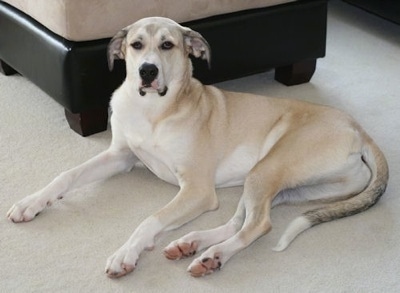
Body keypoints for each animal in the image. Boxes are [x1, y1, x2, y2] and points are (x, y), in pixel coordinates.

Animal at [6, 17, 390, 278]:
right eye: (136, 45)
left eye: (168, 45)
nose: (147, 72)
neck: (154, 110)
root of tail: (359, 129)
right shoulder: (120, 156)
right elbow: (67, 175)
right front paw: (31, 203)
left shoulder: (197, 189)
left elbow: (151, 219)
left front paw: (126, 253)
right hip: (285, 185)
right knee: (241, 219)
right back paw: (191, 243)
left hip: (268, 168)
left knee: (259, 224)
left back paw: (212, 256)